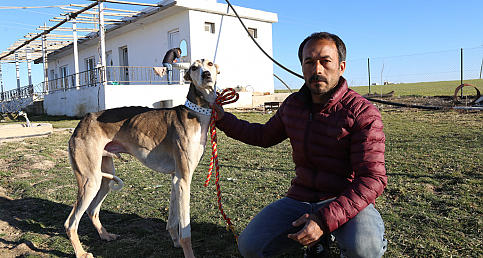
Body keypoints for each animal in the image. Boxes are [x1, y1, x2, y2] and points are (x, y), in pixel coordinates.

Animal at [65, 59, 220, 256]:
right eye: (193, 67)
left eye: (210, 64)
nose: (206, 74)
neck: (196, 113)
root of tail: (82, 122)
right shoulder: (184, 179)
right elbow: (186, 230)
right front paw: (188, 252)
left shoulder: (175, 178)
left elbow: (172, 220)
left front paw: (175, 242)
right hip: (89, 181)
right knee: (70, 223)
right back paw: (81, 253)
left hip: (103, 178)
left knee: (92, 210)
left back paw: (105, 235)